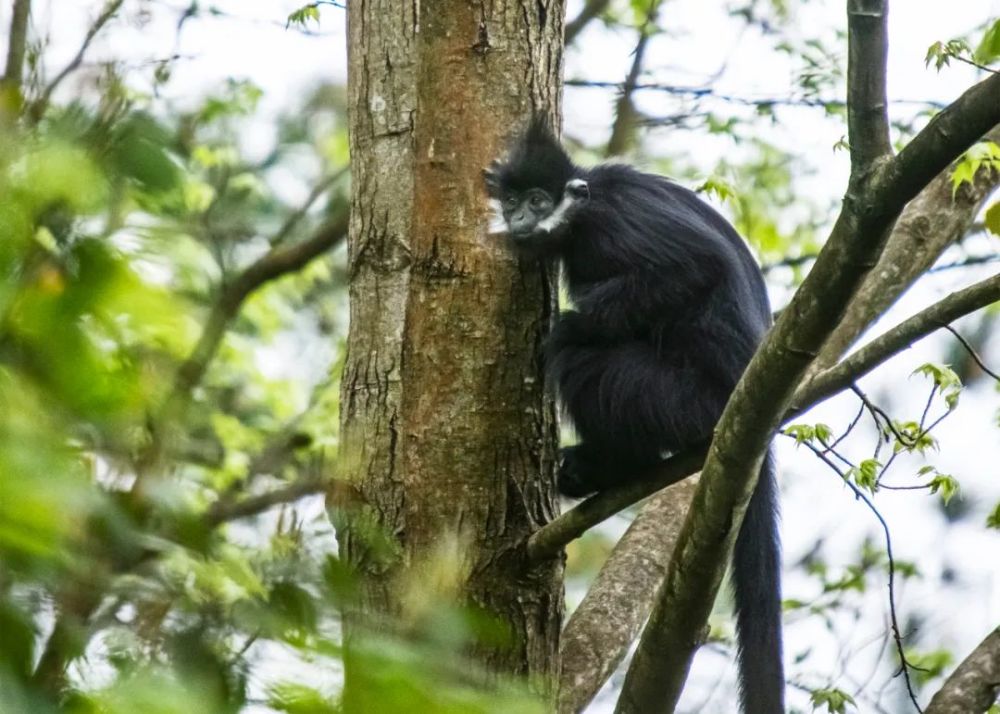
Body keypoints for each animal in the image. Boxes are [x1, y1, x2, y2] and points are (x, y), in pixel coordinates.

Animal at [488, 121, 784, 712]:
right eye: (512, 201)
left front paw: (572, 320)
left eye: (538, 201)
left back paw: (616, 463)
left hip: (674, 399)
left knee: (579, 356)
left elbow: (696, 266)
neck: (581, 213)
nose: (520, 219)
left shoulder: (616, 221)